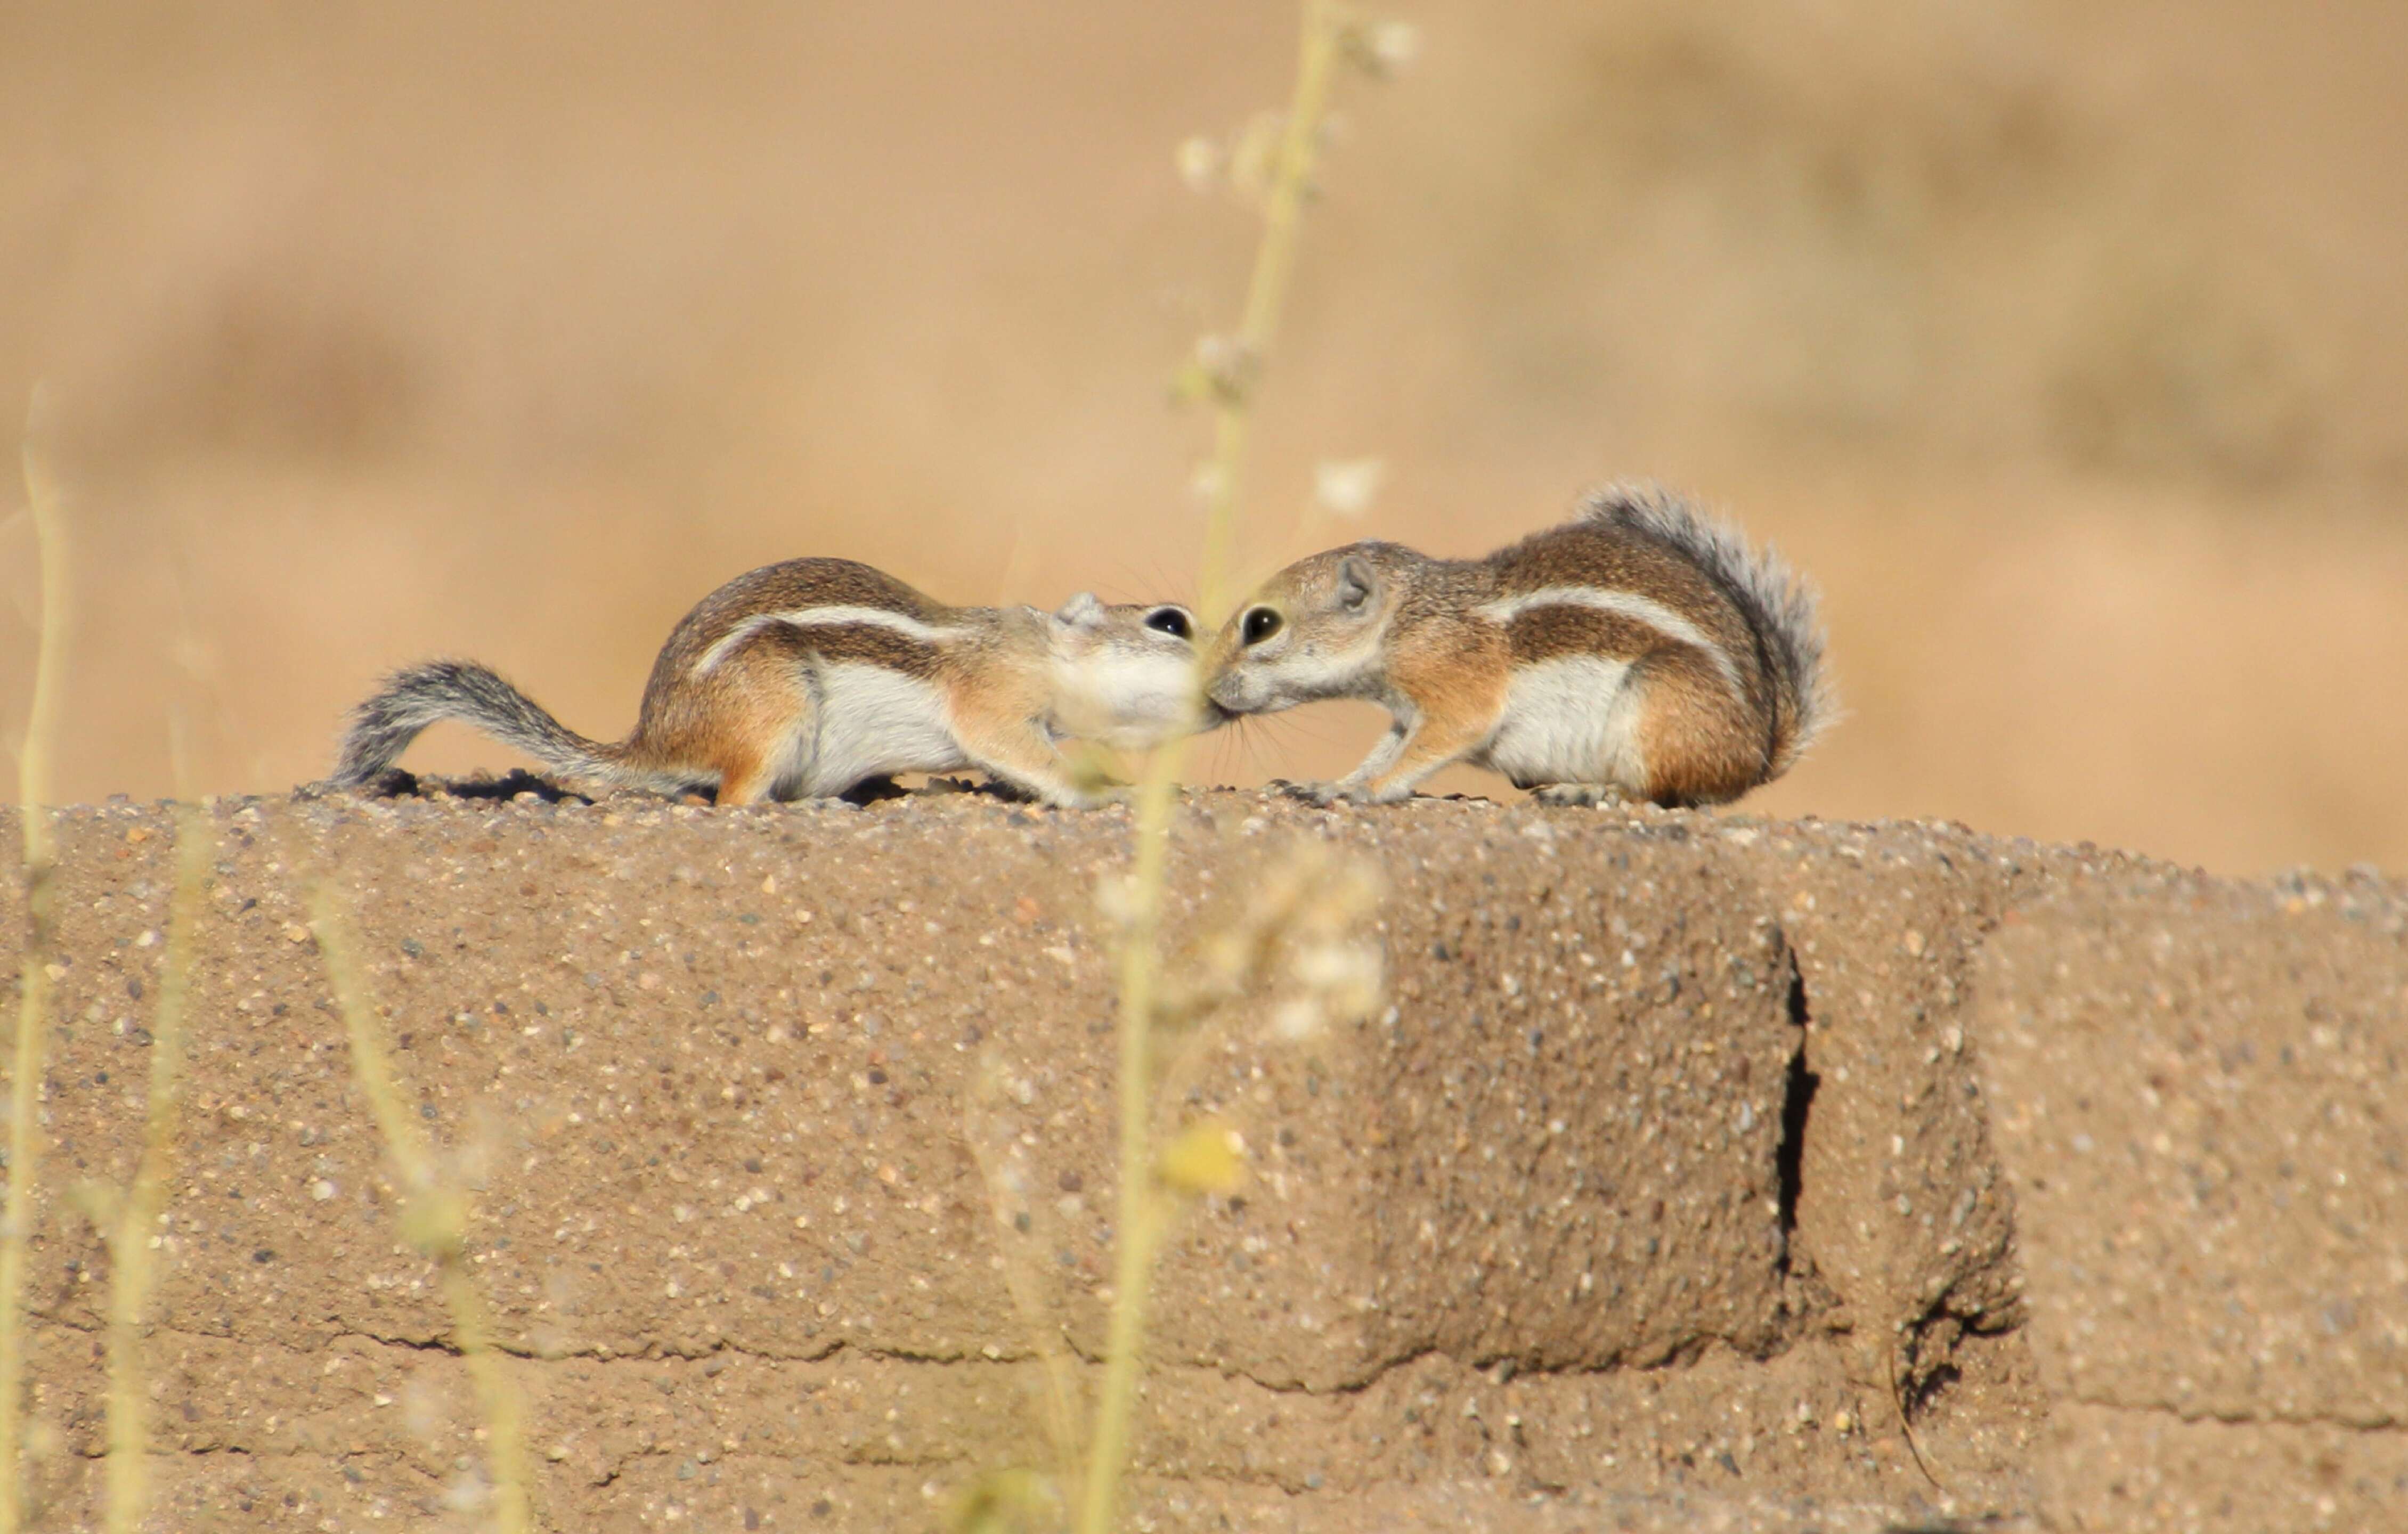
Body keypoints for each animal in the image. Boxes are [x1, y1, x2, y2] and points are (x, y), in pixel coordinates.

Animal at [1194, 484, 1830, 809]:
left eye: (1261, 625)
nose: (1207, 685)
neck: (1409, 616)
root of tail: (1755, 758)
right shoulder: (1406, 712)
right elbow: (1387, 749)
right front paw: (1333, 783)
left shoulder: (1456, 692)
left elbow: (1428, 748)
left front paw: (1369, 792)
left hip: (1658, 694)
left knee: (1657, 794)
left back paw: (1585, 789)